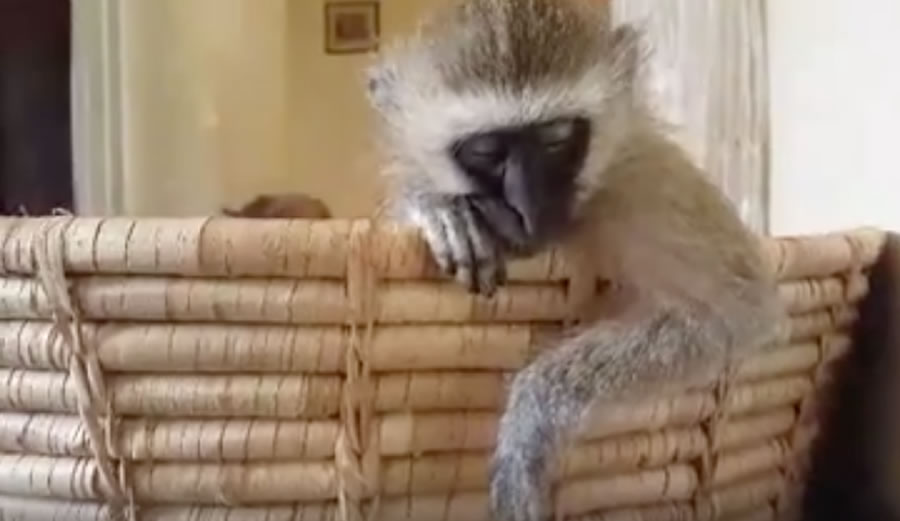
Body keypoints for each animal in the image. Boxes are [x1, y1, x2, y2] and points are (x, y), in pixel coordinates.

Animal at [365, 0, 784, 520]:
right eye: (485, 150)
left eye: (556, 137)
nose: (528, 207)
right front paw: (436, 207)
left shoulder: (646, 184)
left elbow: (738, 312)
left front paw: (529, 419)